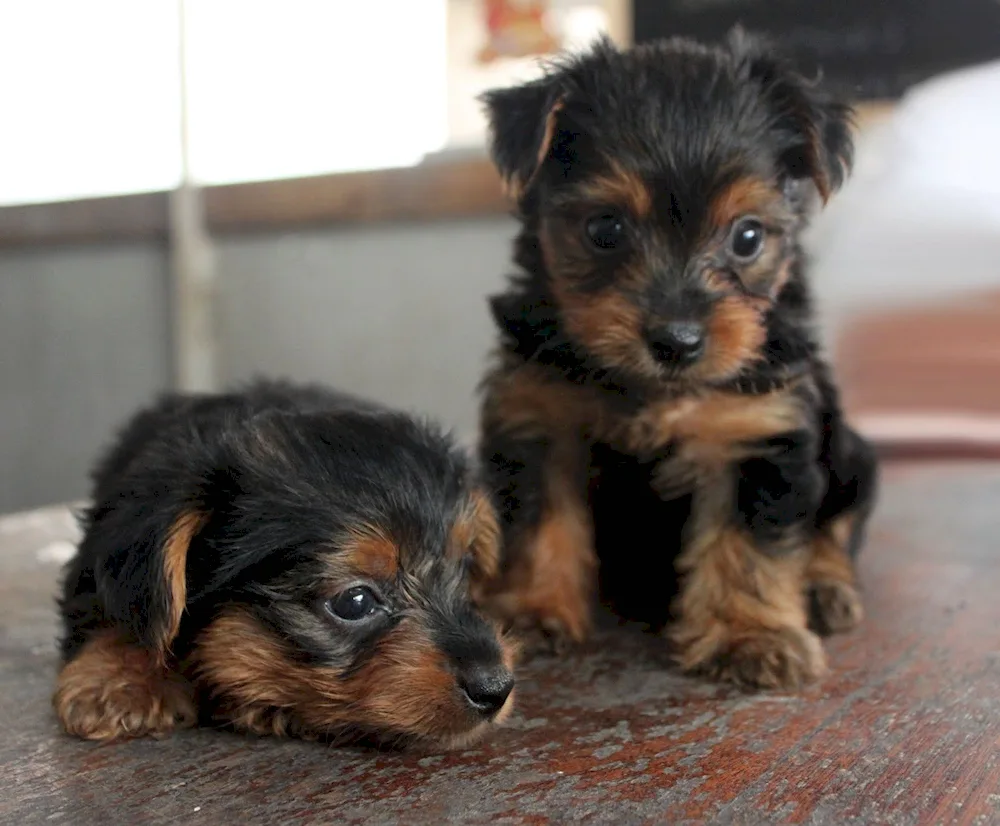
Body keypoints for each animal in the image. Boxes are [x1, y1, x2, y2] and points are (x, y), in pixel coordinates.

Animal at [480, 30, 880, 688]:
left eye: (748, 237)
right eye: (605, 228)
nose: (677, 339)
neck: (650, 388)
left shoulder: (755, 432)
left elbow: (749, 544)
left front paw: (751, 634)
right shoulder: (540, 417)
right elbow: (540, 521)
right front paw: (533, 610)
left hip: (852, 457)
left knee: (834, 527)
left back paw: (824, 588)